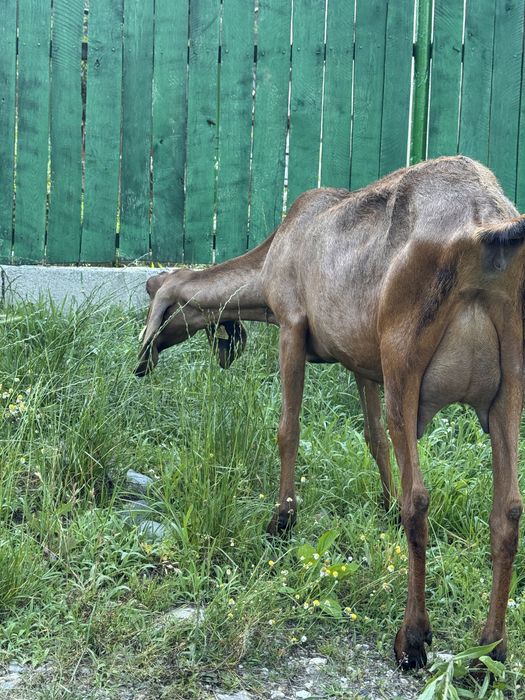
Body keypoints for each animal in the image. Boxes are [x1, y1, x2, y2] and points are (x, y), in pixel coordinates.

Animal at [136, 156, 525, 670]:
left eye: (160, 307)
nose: (141, 363)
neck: (277, 249)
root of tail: (487, 221)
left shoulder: (292, 327)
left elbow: (288, 429)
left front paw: (281, 521)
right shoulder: (363, 362)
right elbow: (374, 438)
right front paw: (384, 507)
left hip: (404, 365)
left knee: (420, 499)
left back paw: (413, 638)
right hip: (508, 390)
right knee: (508, 508)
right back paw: (490, 649)